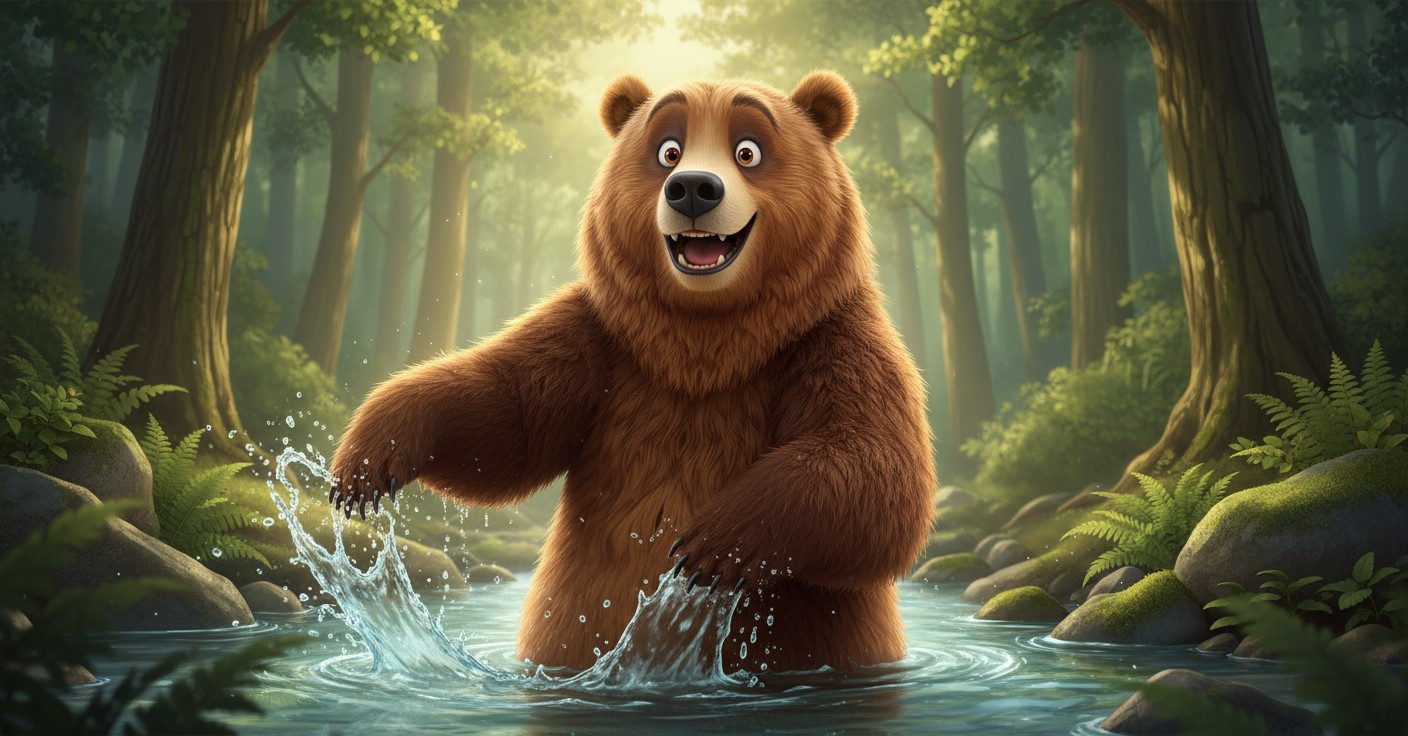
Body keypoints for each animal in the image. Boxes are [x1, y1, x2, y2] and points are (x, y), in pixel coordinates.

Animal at [328, 71, 936, 674]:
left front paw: (714, 542)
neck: (705, 338)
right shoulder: (601, 344)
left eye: (748, 150)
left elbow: (876, 467)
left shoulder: (830, 342)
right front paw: (368, 461)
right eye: (669, 150)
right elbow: (509, 420)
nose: (693, 188)